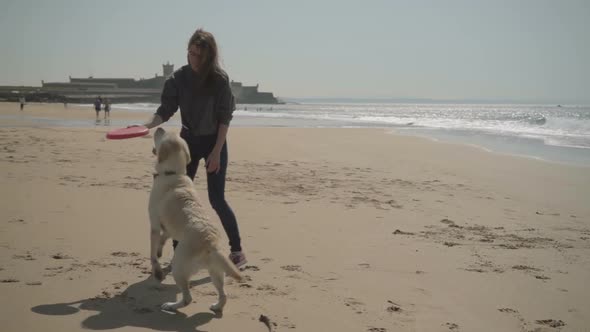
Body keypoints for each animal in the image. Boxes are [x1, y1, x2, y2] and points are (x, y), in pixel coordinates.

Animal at [150, 127, 243, 312]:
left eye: (162, 135)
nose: (159, 127)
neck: (174, 173)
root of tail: (211, 244)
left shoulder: (154, 224)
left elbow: (153, 251)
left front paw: (156, 268)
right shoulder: (169, 227)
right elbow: (164, 237)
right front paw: (160, 250)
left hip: (179, 268)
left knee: (188, 298)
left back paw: (171, 306)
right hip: (216, 271)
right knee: (223, 294)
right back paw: (216, 306)